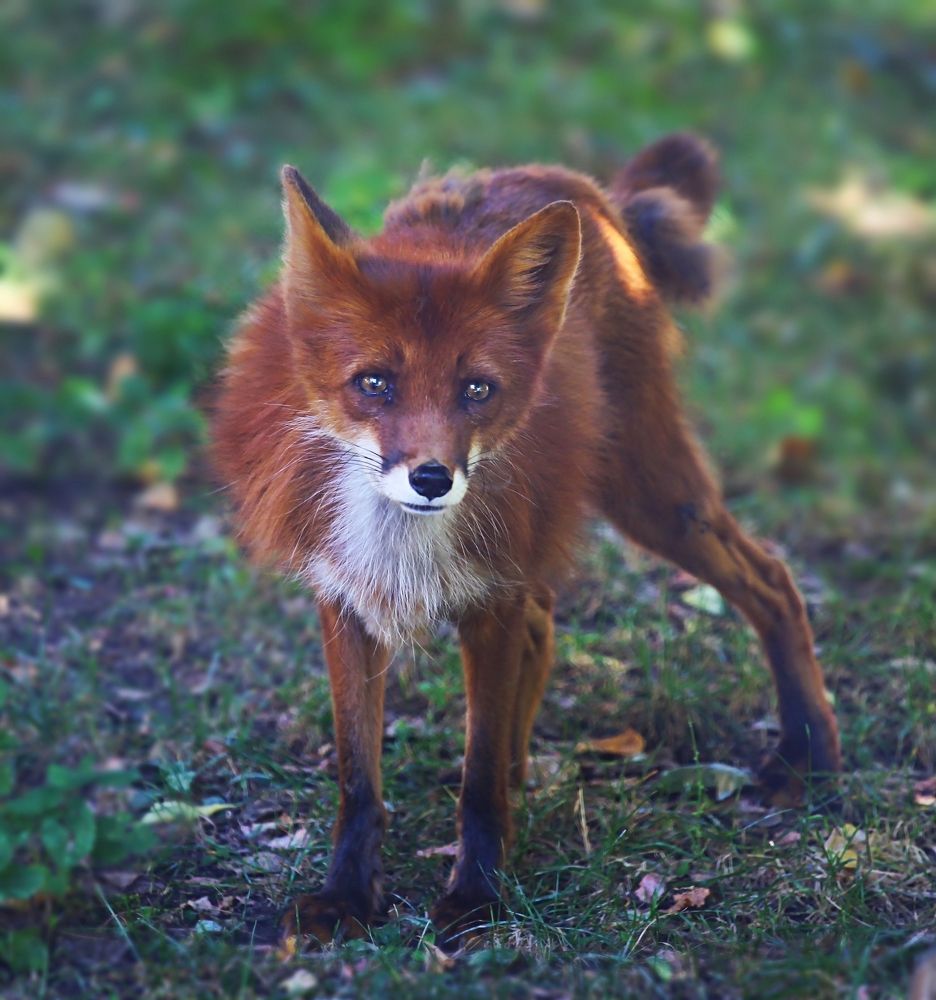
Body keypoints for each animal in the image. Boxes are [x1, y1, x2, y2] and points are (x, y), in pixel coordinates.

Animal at [211, 133, 841, 948]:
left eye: (477, 389)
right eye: (375, 383)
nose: (433, 478)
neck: (402, 538)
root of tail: (583, 191)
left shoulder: (492, 598)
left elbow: (476, 780)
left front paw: (477, 895)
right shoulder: (346, 599)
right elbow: (358, 777)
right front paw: (348, 895)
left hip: (649, 495)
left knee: (773, 583)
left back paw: (808, 755)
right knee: (549, 630)